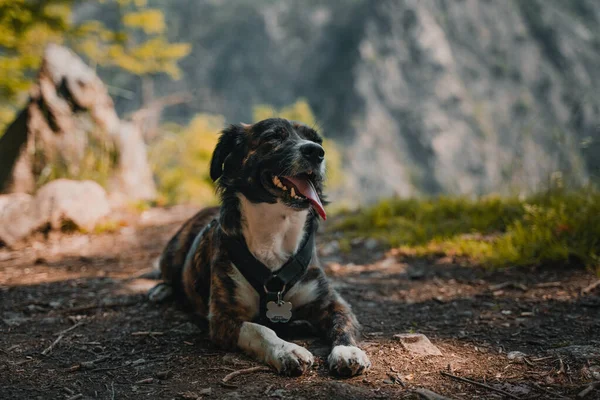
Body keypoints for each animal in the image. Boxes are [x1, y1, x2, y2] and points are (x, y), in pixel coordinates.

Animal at [150, 117, 370, 376]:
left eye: (317, 140)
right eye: (273, 136)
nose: (316, 152)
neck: (275, 231)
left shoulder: (332, 302)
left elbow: (342, 324)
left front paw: (348, 351)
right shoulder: (224, 318)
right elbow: (261, 329)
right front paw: (288, 351)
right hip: (172, 253)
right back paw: (161, 290)